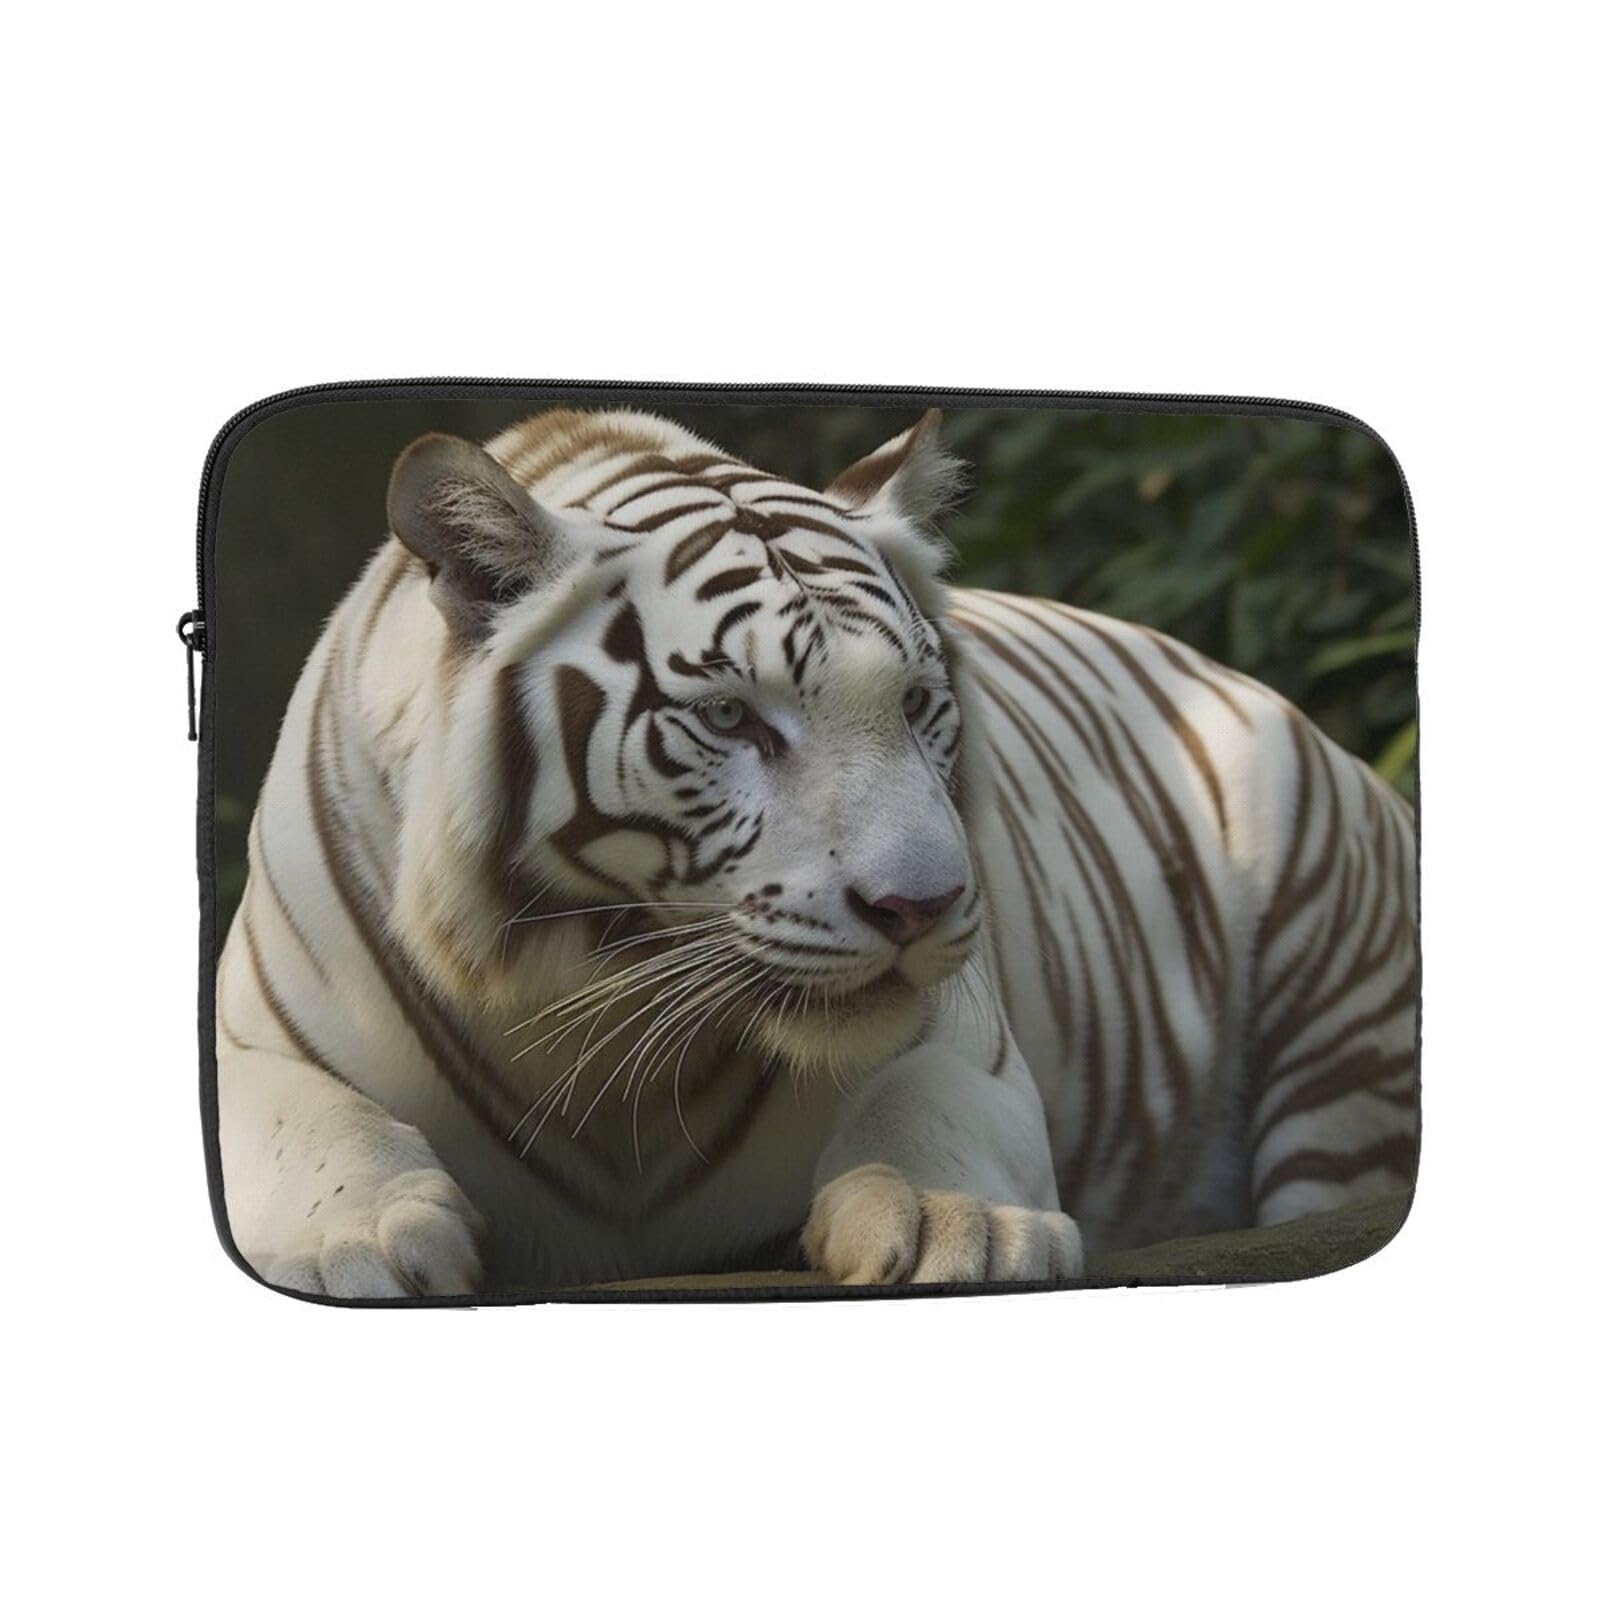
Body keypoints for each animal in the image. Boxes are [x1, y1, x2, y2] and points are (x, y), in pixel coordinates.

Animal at [215, 405, 1419, 1296]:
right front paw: (353, 1239)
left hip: (1343, 1042)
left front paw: (955, 1220)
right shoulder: (251, 1040)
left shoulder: (969, 1039)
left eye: (917, 703)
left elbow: (925, 1100)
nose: (920, 909)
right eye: (733, 718)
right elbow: (299, 1119)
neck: (603, 1008)